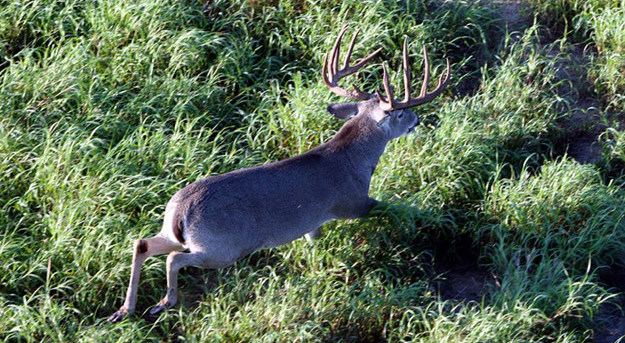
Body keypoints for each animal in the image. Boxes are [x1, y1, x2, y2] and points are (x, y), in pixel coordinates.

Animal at [107, 25, 448, 324]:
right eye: (401, 113)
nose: (417, 119)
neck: (354, 161)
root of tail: (181, 210)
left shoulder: (313, 222)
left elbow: (314, 243)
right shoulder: (352, 203)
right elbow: (395, 207)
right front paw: (431, 217)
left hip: (174, 232)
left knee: (142, 244)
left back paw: (125, 309)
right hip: (224, 247)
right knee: (173, 258)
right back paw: (165, 302)